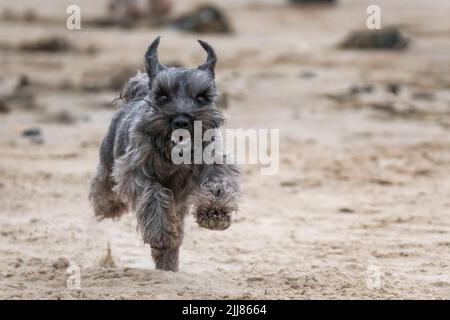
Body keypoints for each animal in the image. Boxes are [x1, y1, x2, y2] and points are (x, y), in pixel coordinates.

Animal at [89, 37, 241, 272]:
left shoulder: (214, 164)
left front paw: (215, 212)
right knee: (104, 190)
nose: (182, 121)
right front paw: (160, 232)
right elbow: (154, 195)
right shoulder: (135, 172)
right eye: (162, 95)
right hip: (108, 170)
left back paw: (167, 261)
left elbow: (217, 184)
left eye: (201, 97)